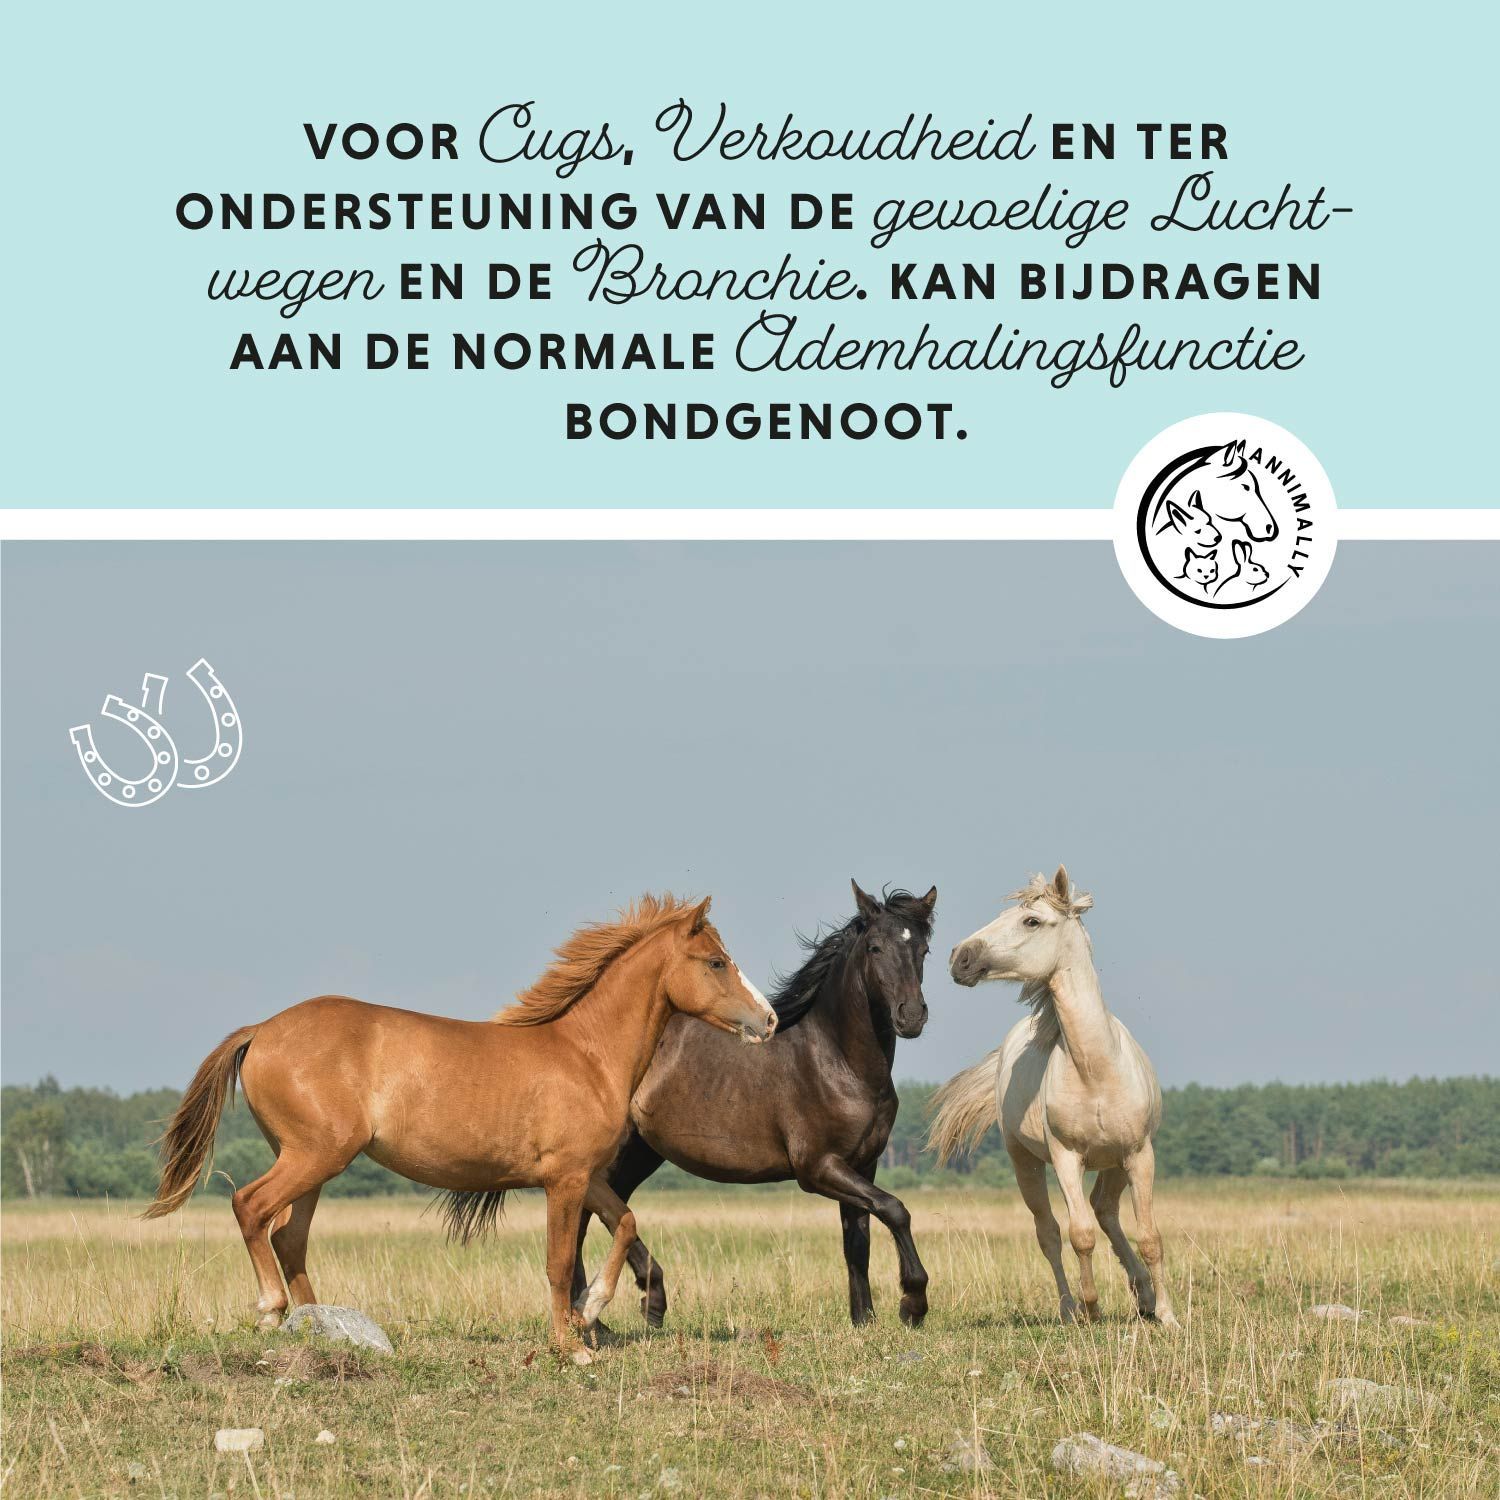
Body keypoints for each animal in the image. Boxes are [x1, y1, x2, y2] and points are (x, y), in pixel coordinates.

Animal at [145, 894, 777, 1356]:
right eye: (716, 962)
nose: (768, 1020)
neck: (587, 1055)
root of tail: (262, 1030)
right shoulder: (564, 1180)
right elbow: (558, 1262)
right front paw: (570, 1345)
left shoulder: (586, 1176)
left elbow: (624, 1223)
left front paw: (592, 1309)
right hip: (314, 1155)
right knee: (251, 1207)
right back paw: (272, 1312)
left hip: (313, 1163)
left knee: (288, 1236)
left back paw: (320, 1325)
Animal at [562, 882, 937, 1329]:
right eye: (875, 948)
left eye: (923, 950)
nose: (911, 1016)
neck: (839, 1062)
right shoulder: (818, 1168)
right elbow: (895, 1210)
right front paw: (912, 1303)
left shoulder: (863, 1164)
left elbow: (857, 1242)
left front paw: (864, 1320)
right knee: (588, 1217)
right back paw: (609, 1311)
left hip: (640, 1153)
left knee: (600, 1215)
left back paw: (614, 1311)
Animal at [929, 868, 1178, 1327]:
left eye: (1031, 921)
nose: (960, 957)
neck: (1096, 1070)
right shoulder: (1066, 1157)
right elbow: (1079, 1235)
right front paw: (1092, 1308)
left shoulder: (1139, 1154)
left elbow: (1150, 1236)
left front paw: (1168, 1316)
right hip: (1024, 1162)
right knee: (1050, 1232)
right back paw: (1070, 1308)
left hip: (1115, 1162)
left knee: (1105, 1210)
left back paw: (1145, 1296)